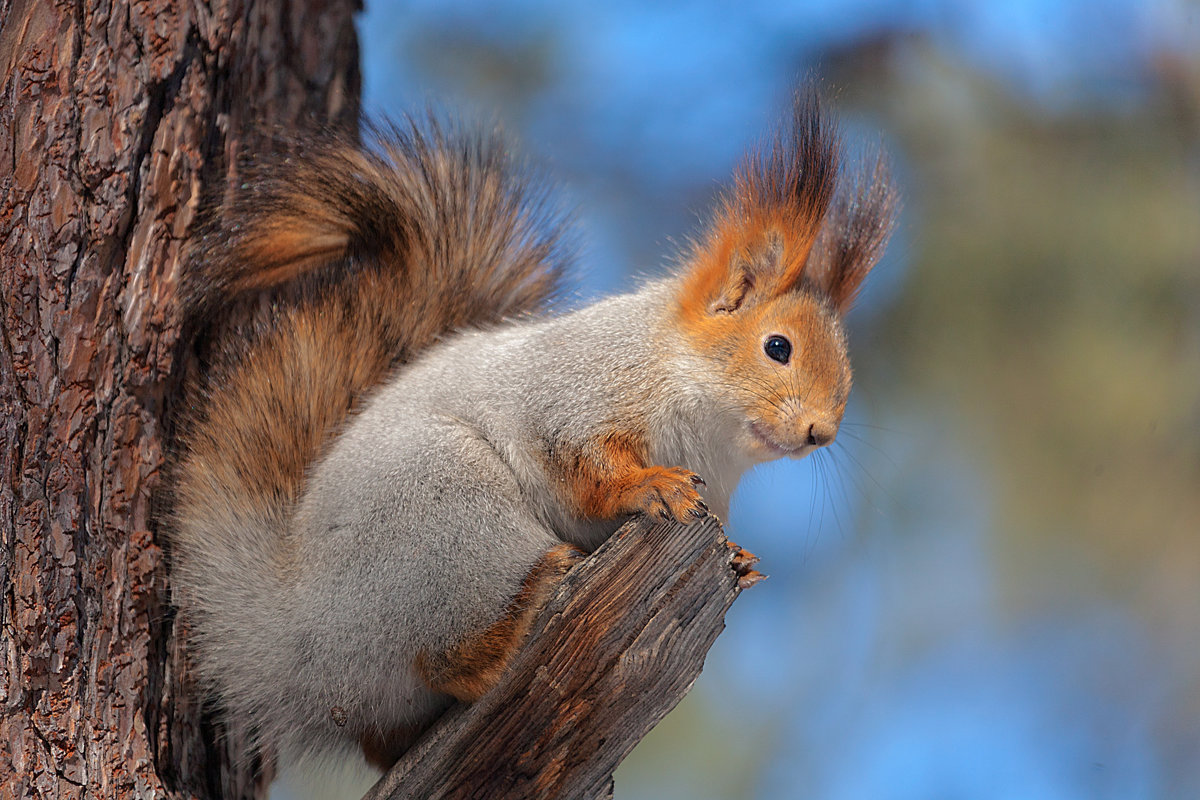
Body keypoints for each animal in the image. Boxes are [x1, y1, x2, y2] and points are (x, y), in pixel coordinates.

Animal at [174, 94, 897, 777]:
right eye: (777, 347)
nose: (821, 432)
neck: (705, 427)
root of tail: (298, 638)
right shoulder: (570, 398)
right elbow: (583, 472)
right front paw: (650, 487)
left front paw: (741, 557)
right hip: (446, 514)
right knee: (439, 660)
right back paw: (518, 619)